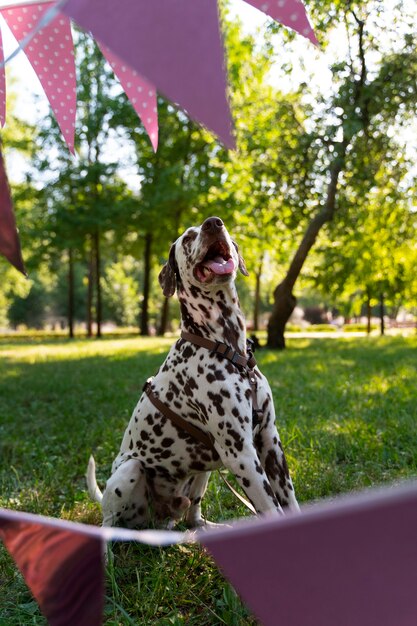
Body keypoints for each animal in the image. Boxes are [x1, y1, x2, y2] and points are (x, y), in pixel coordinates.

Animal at [88, 216, 298, 528]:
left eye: (220, 225)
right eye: (188, 237)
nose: (213, 223)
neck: (227, 347)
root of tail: (160, 518)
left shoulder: (270, 442)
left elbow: (291, 503)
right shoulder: (241, 453)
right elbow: (272, 509)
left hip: (203, 472)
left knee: (191, 516)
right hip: (130, 471)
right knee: (109, 522)